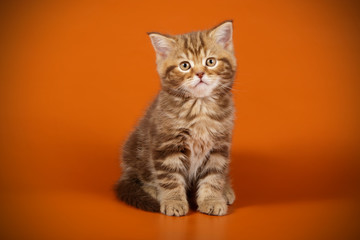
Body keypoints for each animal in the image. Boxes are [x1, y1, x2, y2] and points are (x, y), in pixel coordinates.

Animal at [115, 20, 238, 216]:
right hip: (133, 150)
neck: (200, 107)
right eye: (185, 65)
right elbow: (169, 176)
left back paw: (225, 190)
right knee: (136, 177)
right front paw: (173, 201)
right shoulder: (166, 144)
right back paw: (151, 191)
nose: (200, 74)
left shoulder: (219, 146)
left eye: (210, 62)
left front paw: (212, 199)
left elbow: (214, 175)